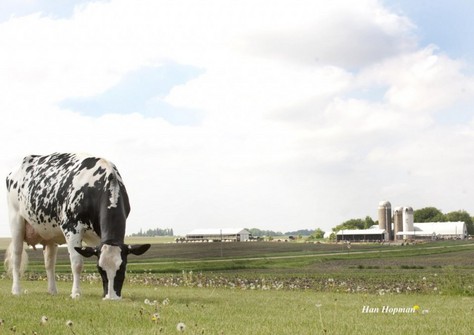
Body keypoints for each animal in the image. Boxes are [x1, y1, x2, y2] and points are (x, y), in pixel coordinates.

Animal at [4, 154, 150, 300]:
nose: (111, 297)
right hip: (16, 221)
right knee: (17, 257)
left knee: (49, 263)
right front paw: (76, 293)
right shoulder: (71, 227)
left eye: (123, 267)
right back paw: (16, 290)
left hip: (49, 233)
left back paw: (52, 290)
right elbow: (77, 263)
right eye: (100, 269)